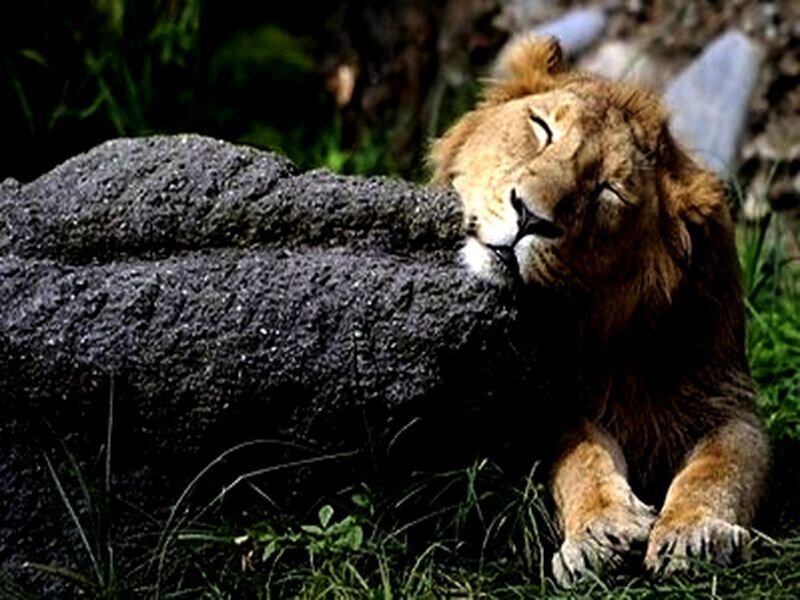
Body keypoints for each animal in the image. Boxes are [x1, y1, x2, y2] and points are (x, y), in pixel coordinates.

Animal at [429, 36, 768, 586]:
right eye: (541, 127)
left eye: (607, 191)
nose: (529, 216)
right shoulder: (554, 406)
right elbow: (582, 459)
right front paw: (600, 533)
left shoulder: (728, 400)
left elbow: (721, 467)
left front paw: (695, 533)